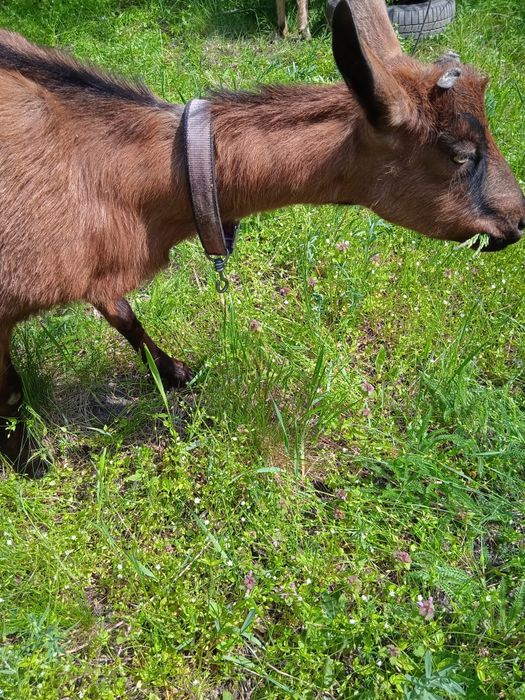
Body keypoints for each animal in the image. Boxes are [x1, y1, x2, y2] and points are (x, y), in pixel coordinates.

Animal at [0, 0, 523, 476]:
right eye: (460, 154)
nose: (517, 220)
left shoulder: (95, 266)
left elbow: (124, 314)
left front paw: (173, 372)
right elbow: (12, 390)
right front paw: (28, 463)